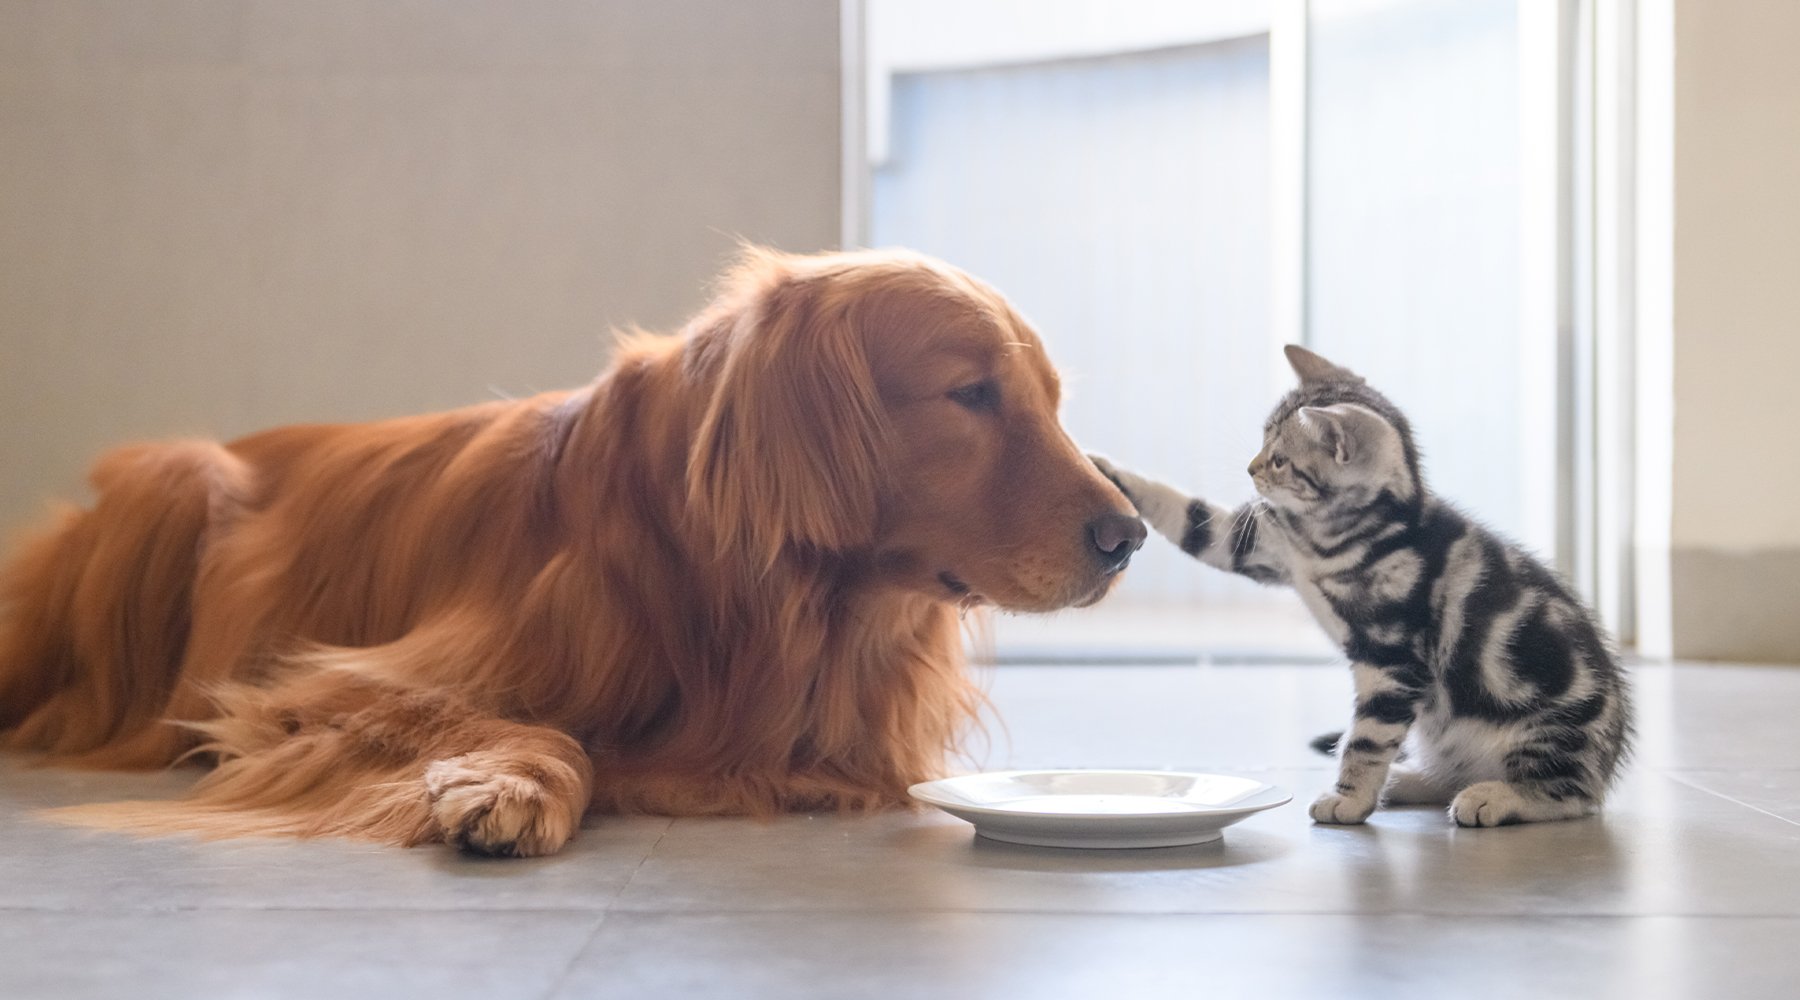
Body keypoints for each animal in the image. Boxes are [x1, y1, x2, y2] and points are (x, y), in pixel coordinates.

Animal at [0, 246, 1144, 856]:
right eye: (971, 393)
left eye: (1048, 399)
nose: (1129, 534)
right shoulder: (321, 688)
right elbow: (544, 729)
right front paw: (510, 788)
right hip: (179, 483)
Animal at [1094, 345, 1634, 827]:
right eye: (1263, 443)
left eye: (1280, 460)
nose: (1251, 468)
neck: (1331, 539)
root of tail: (1608, 761)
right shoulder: (1259, 545)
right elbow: (1190, 517)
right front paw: (1107, 471)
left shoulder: (1392, 660)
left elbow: (1368, 739)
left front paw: (1348, 799)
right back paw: (1412, 780)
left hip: (1548, 729)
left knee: (1571, 795)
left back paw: (1496, 797)